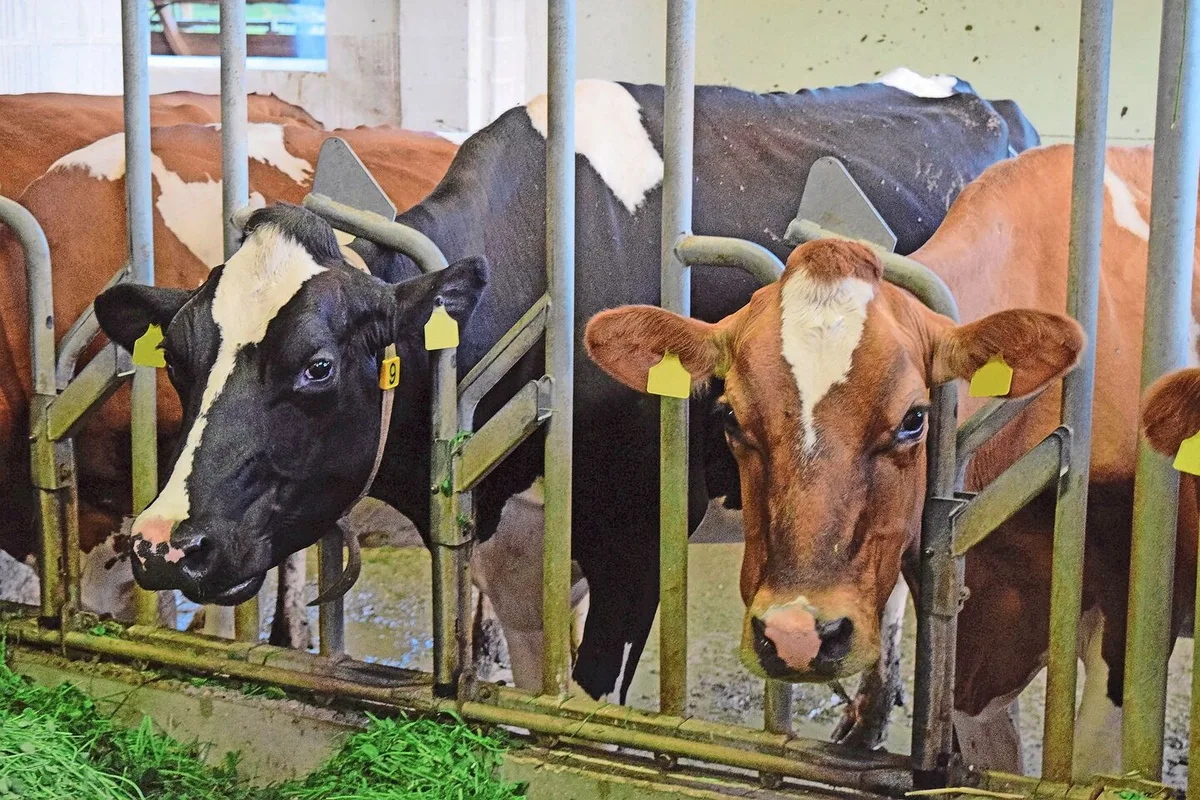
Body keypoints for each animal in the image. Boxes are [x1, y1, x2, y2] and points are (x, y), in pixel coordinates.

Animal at [90, 74, 1039, 732]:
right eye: (180, 359)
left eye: (317, 366)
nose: (163, 542)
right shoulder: (512, 544)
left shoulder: (639, 537)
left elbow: (592, 706)